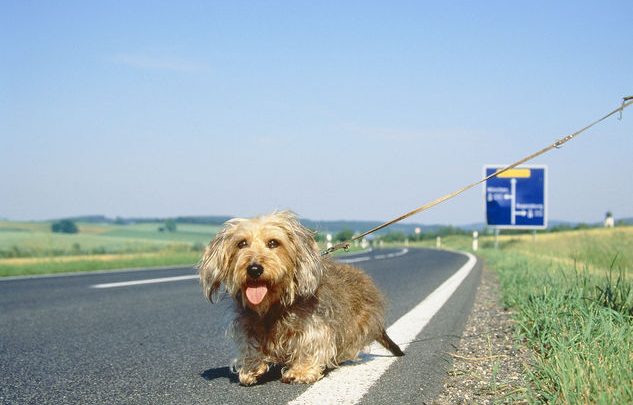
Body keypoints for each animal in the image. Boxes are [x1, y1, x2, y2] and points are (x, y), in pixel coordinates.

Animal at [198, 210, 402, 384]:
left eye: (273, 243)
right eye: (241, 244)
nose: (254, 269)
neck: (274, 305)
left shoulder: (314, 325)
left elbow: (310, 345)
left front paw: (301, 371)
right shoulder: (247, 324)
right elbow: (250, 345)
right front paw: (251, 368)